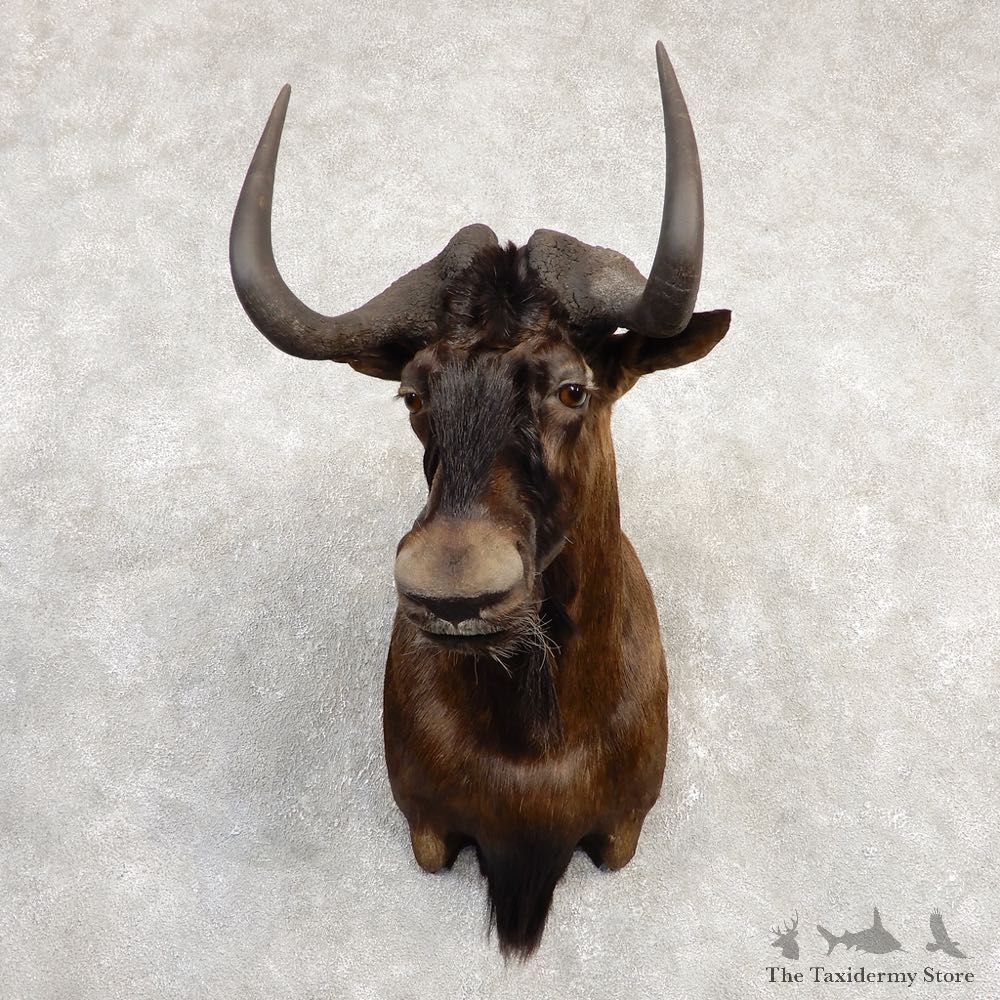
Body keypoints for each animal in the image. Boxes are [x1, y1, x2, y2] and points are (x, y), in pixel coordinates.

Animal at [230, 41, 730, 957]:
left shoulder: (622, 830)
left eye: (573, 388)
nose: (453, 591)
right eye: (414, 392)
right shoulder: (428, 829)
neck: (532, 745)